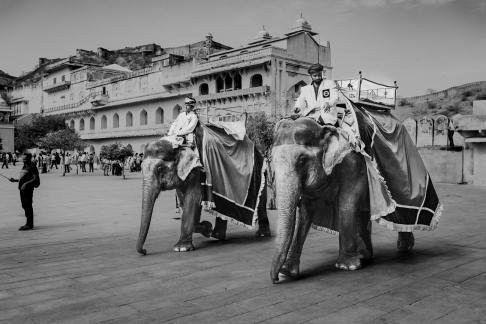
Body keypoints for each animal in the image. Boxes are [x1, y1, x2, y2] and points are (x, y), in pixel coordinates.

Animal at [137, 123, 272, 254]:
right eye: (141, 168)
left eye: (159, 168)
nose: (144, 251)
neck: (179, 142)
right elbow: (184, 202)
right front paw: (207, 228)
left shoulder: (197, 170)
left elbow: (193, 200)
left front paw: (181, 248)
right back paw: (217, 235)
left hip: (259, 172)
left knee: (261, 201)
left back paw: (262, 234)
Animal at [270, 118, 414, 284]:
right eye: (272, 161)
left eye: (302, 160)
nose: (275, 280)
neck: (323, 128)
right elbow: (306, 211)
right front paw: (288, 272)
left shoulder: (353, 165)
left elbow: (347, 203)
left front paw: (346, 266)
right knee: (362, 215)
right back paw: (364, 256)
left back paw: (404, 248)